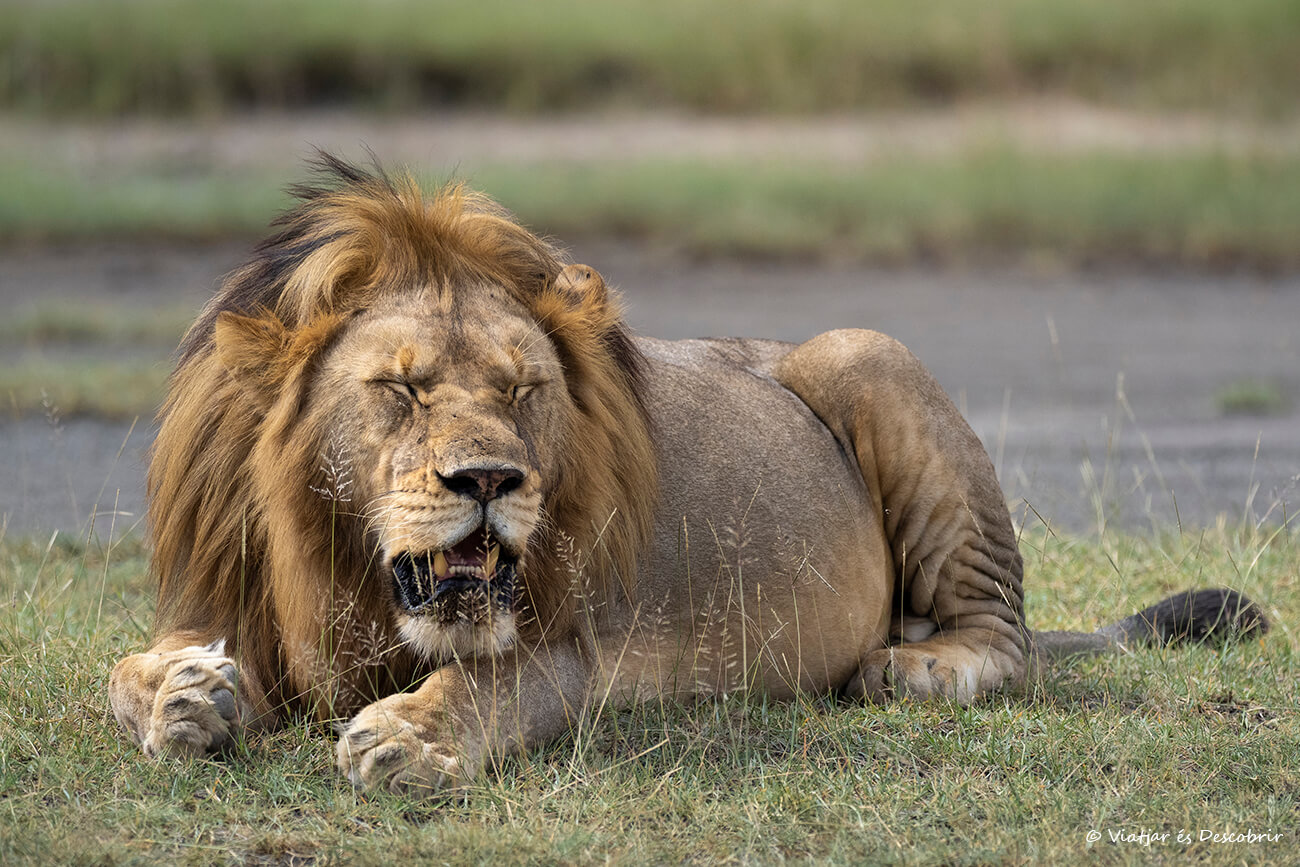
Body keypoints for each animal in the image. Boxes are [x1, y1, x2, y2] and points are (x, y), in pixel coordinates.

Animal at [109, 155, 1268, 793]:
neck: (343, 570)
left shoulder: (569, 641)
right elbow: (125, 669)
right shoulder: (230, 600)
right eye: (400, 389)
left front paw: (408, 737)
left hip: (866, 350)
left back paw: (916, 668)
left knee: (1009, 641)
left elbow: (484, 682)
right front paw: (184, 698)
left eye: (524, 388)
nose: (489, 480)